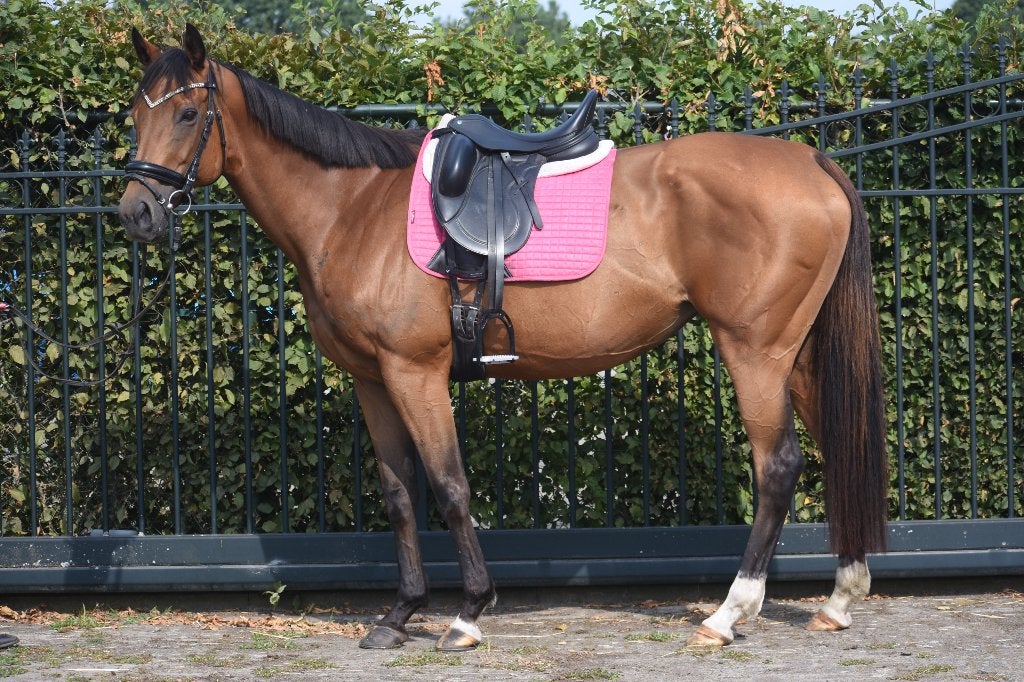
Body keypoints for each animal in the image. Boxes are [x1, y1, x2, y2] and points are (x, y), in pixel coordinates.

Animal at [118, 24, 888, 651]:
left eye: (188, 113)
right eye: (134, 114)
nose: (137, 213)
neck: (351, 208)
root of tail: (812, 162)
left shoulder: (416, 372)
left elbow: (450, 486)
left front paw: (467, 613)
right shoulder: (373, 379)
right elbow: (400, 495)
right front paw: (400, 614)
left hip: (755, 353)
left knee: (778, 466)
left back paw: (728, 614)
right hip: (798, 357)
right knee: (834, 445)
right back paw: (838, 600)